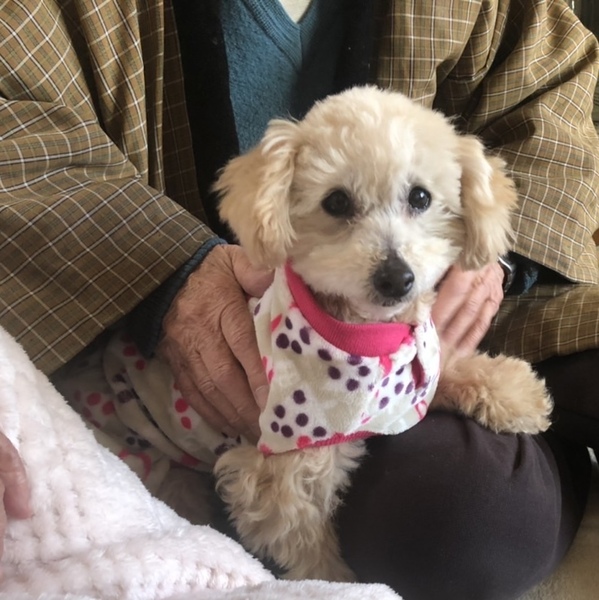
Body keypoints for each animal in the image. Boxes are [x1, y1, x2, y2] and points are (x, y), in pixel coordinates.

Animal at [212, 86, 553, 582]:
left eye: (420, 197)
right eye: (336, 202)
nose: (397, 278)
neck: (367, 335)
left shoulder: (411, 388)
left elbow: (453, 369)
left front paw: (518, 395)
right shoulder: (275, 474)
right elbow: (308, 547)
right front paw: (343, 584)